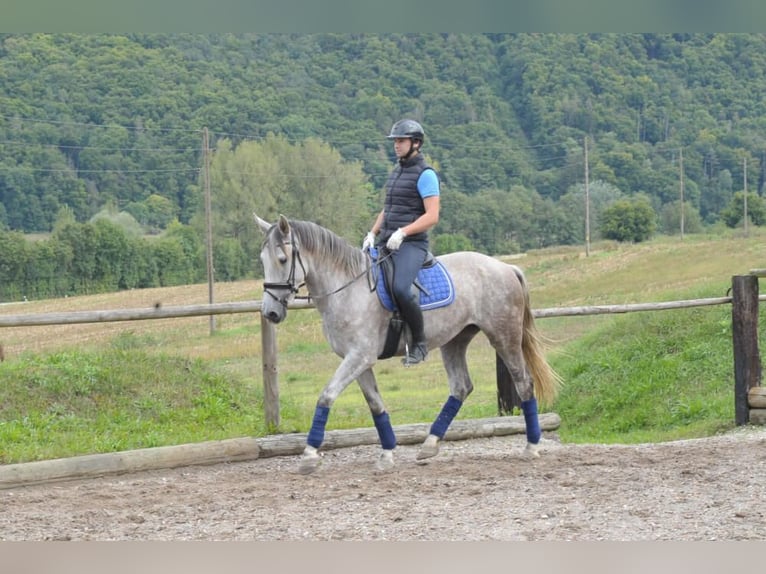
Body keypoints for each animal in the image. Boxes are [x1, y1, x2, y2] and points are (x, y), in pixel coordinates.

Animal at [255, 214, 560, 474]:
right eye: (262, 259)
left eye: (282, 259)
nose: (271, 313)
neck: (348, 289)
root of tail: (506, 267)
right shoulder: (356, 359)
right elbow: (376, 405)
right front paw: (387, 454)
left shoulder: (359, 356)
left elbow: (326, 395)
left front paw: (308, 455)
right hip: (455, 340)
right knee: (461, 387)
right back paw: (429, 445)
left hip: (503, 335)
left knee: (523, 383)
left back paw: (531, 446)